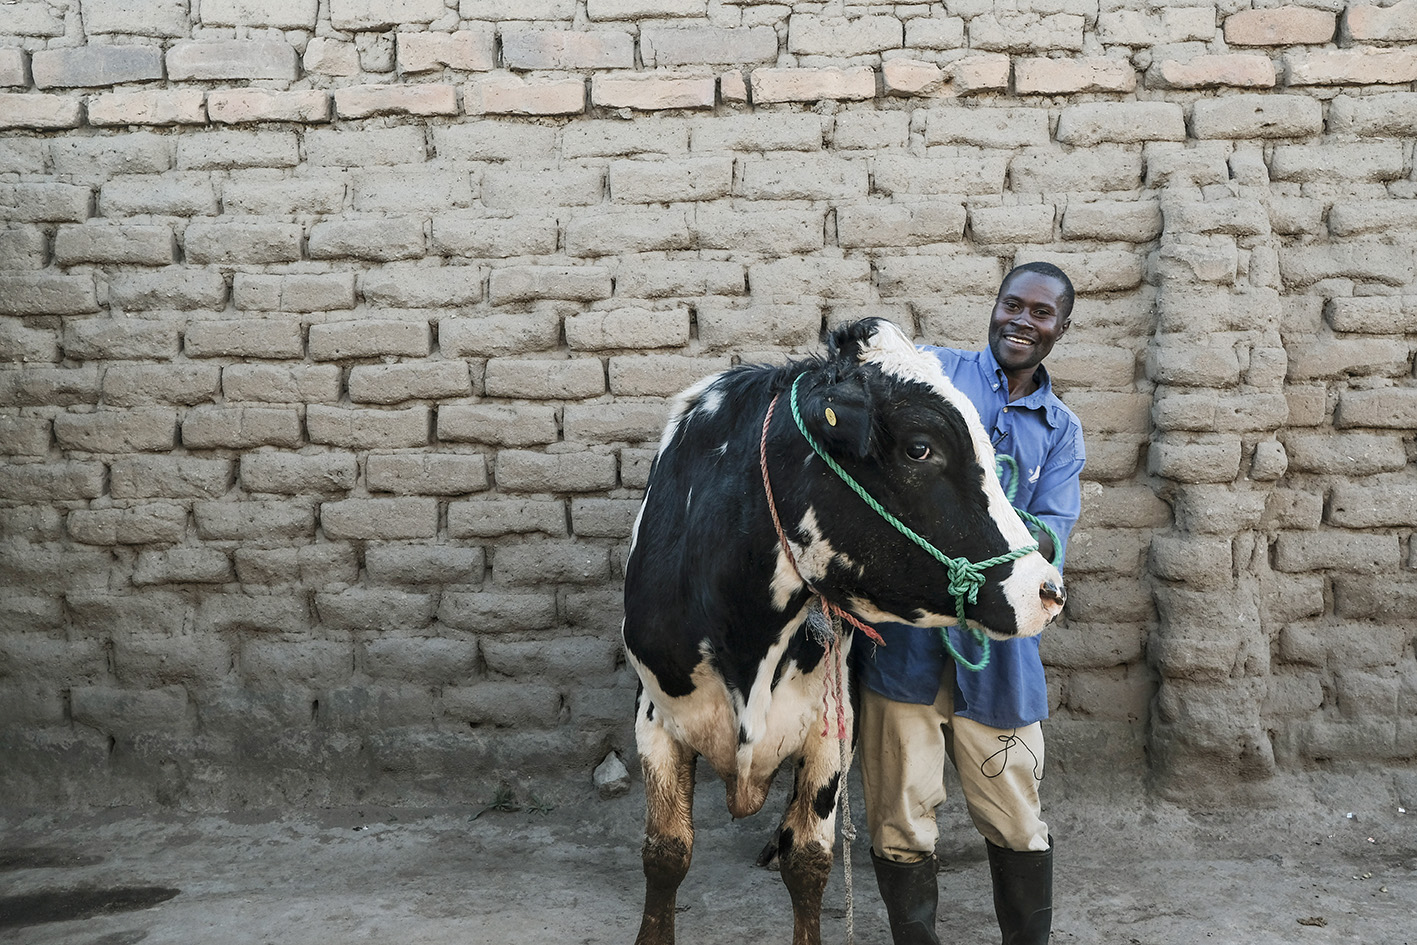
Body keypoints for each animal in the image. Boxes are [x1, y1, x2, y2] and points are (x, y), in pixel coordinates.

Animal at [620, 320, 1065, 945]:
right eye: (919, 447)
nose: (1046, 588)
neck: (747, 640)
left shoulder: (833, 725)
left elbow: (808, 859)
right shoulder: (655, 716)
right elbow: (666, 853)